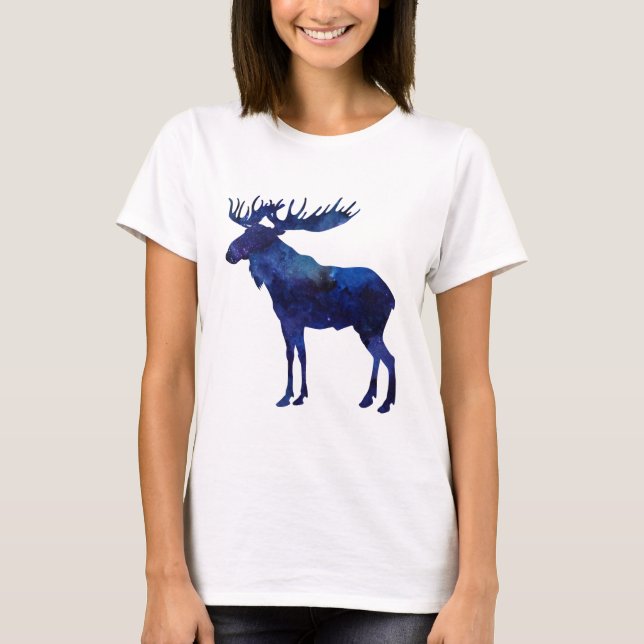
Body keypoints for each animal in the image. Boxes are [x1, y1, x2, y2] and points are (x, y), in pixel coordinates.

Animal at [225, 195, 396, 413]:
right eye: (246, 231)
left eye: (259, 235)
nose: (229, 253)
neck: (275, 281)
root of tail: (391, 297)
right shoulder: (289, 323)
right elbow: (294, 354)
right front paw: (291, 396)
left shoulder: (294, 321)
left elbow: (299, 355)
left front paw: (296, 396)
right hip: (369, 330)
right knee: (378, 357)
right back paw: (368, 398)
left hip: (370, 327)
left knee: (389, 358)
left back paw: (386, 403)